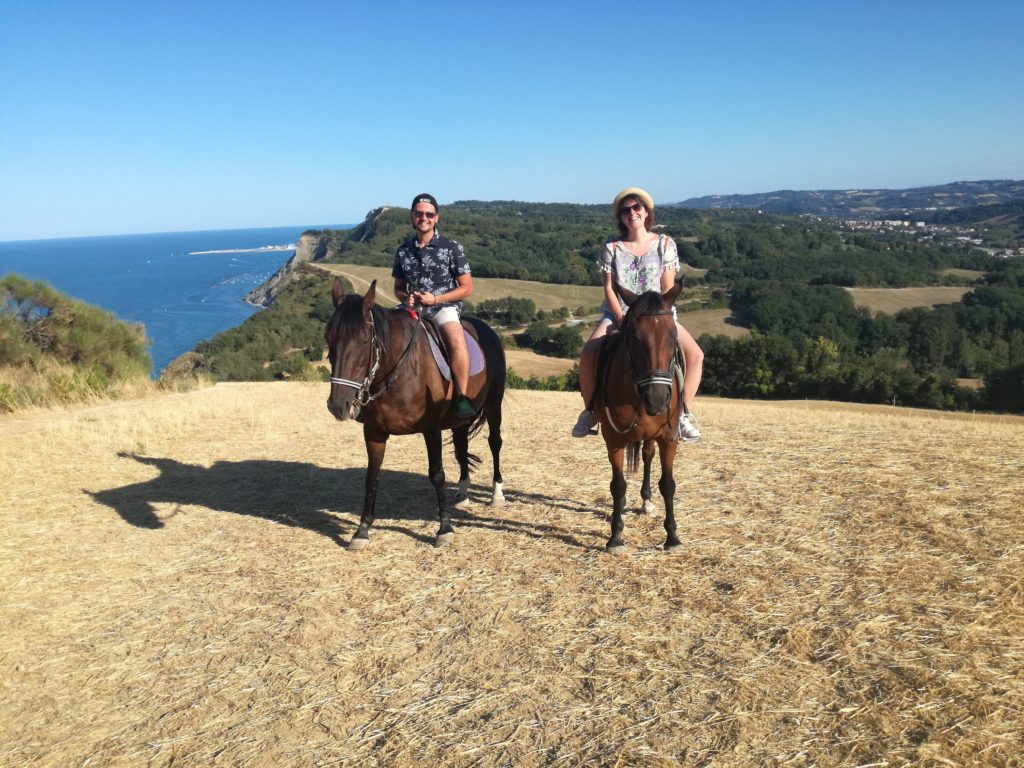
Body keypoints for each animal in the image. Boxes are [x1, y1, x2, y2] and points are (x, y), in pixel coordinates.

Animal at [325, 280, 505, 548]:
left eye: (364, 340)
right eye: (328, 339)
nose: (338, 405)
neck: (397, 372)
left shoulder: (431, 430)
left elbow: (437, 474)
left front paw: (445, 529)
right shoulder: (374, 432)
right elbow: (371, 478)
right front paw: (362, 531)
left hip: (494, 404)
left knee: (495, 443)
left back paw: (497, 493)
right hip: (460, 419)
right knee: (461, 445)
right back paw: (463, 490)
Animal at [598, 282, 684, 552]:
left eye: (673, 336)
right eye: (635, 338)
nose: (656, 398)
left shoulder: (668, 438)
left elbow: (668, 484)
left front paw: (672, 536)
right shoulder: (614, 440)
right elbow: (618, 486)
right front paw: (615, 536)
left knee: (647, 456)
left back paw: (647, 502)